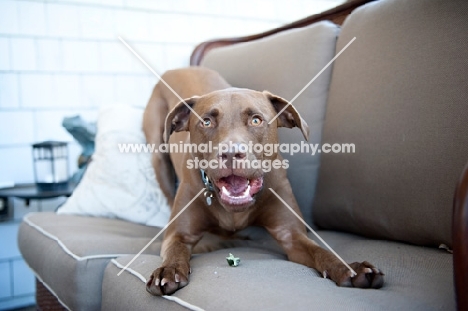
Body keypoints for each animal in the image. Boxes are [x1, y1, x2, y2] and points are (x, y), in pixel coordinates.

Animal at [143, 67, 384, 296]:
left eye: (256, 120)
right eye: (206, 121)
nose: (231, 153)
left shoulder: (291, 234)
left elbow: (320, 251)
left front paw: (350, 268)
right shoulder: (180, 234)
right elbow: (175, 250)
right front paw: (168, 270)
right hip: (158, 155)